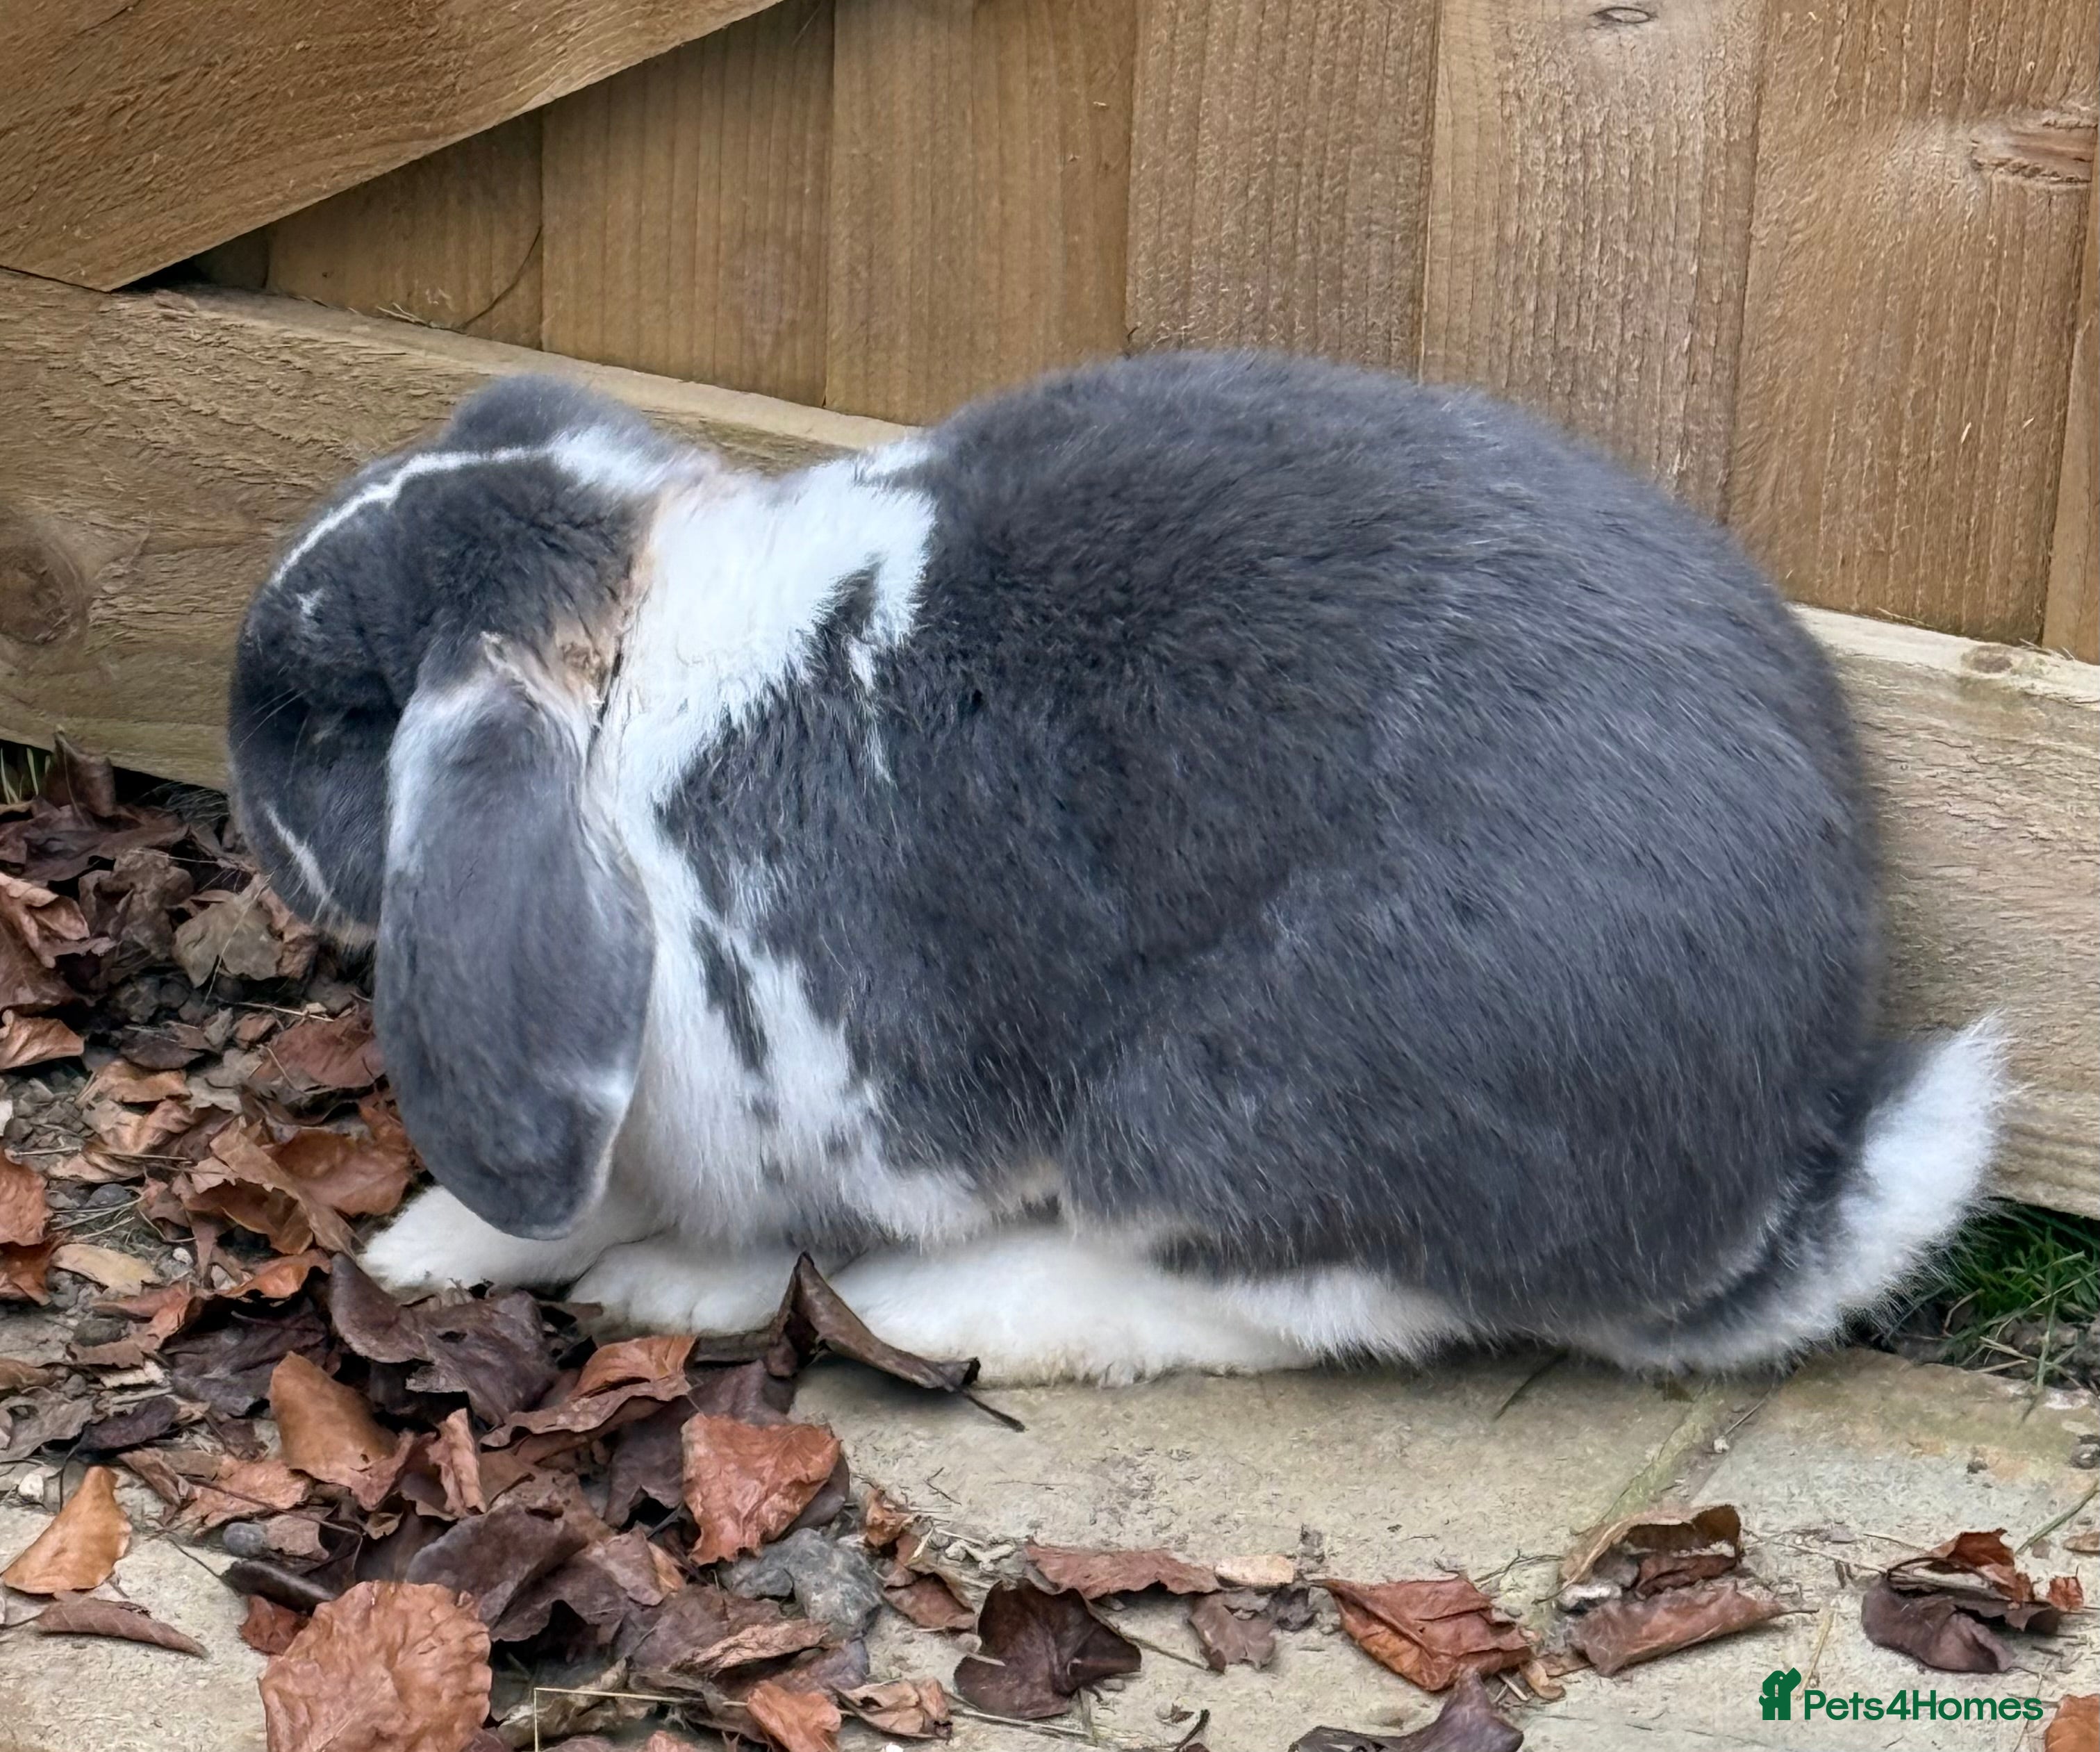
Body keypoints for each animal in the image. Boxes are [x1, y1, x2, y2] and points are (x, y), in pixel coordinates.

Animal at [226, 352, 2006, 1385]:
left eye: (330, 713)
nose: (240, 790)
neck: (637, 690)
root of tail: (1763, 1181)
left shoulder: (816, 1090)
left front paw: (627, 1269)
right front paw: (429, 1248)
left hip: (1217, 1112)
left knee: (1273, 1309)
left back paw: (889, 1311)